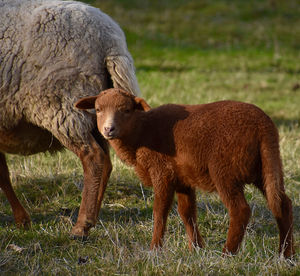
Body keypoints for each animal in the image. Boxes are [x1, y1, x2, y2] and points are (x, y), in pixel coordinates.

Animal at [0, 0, 140, 237]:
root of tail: (111, 42)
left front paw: (21, 220)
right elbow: (2, 172)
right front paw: (22, 220)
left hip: (64, 107)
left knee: (93, 158)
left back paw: (81, 226)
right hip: (97, 114)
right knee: (106, 162)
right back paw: (93, 216)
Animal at [75, 88, 296, 256]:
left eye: (127, 110)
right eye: (97, 109)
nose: (108, 129)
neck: (141, 132)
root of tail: (264, 127)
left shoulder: (162, 172)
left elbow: (160, 212)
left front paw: (155, 249)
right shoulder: (182, 178)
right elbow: (187, 212)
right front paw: (196, 249)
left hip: (225, 171)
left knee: (240, 210)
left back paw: (228, 253)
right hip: (266, 167)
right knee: (282, 204)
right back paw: (286, 255)